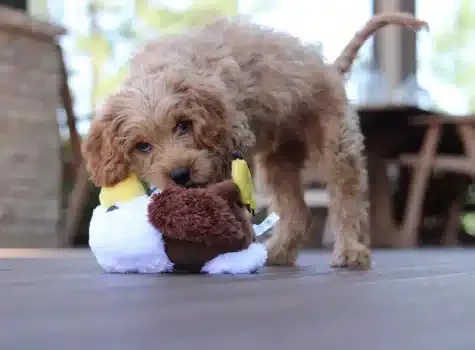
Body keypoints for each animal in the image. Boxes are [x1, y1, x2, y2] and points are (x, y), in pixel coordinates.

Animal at [82, 12, 428, 270]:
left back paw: (350, 251)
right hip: (278, 163)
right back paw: (278, 253)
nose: (180, 175)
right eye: (142, 146)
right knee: (298, 214)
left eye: (183, 125)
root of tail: (328, 68)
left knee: (348, 201)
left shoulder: (233, 146)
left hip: (336, 147)